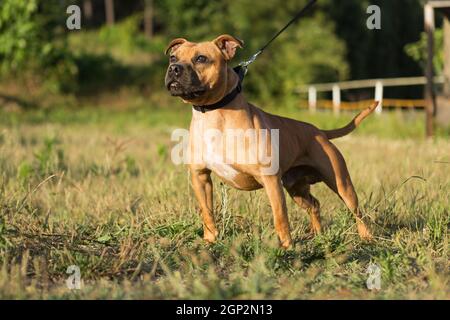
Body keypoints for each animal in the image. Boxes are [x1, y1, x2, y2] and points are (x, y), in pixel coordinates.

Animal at [165, 35, 376, 250]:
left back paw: (367, 238)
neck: (212, 113)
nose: (174, 68)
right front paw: (210, 241)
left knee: (358, 212)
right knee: (314, 205)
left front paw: (286, 247)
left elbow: (280, 215)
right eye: (173, 57)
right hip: (297, 188)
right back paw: (318, 235)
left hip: (341, 184)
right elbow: (207, 212)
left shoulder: (270, 180)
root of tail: (319, 132)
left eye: (201, 58)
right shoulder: (200, 176)